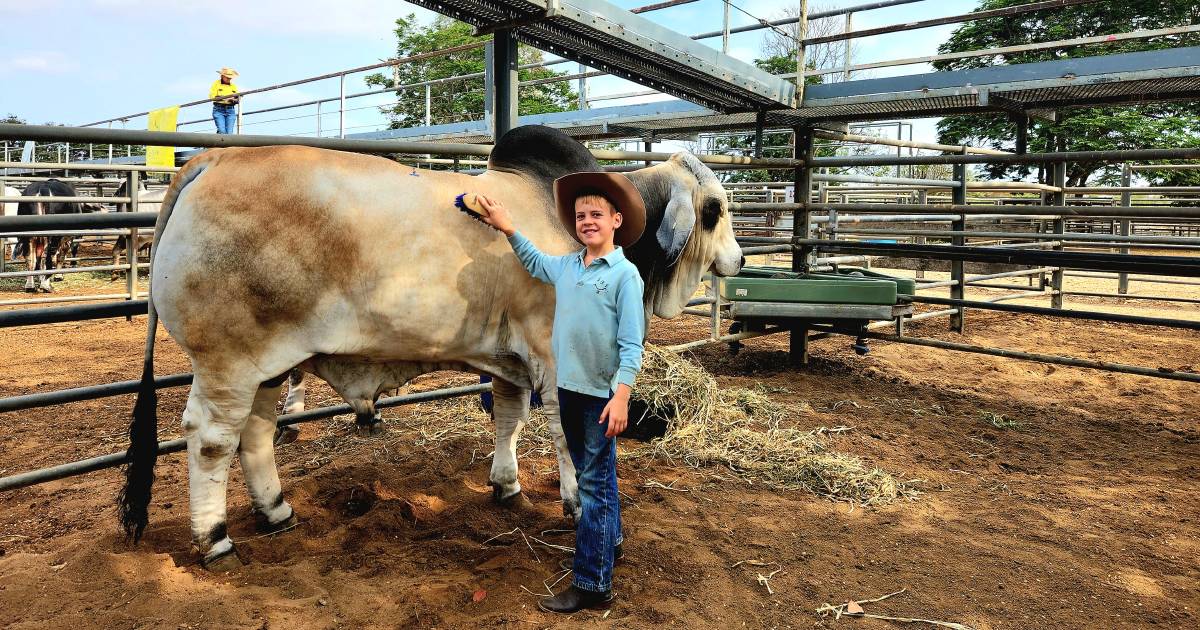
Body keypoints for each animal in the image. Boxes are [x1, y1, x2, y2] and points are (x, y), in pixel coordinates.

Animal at [121, 125, 739, 566]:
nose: (738, 260)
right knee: (210, 440)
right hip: (227, 362)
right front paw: (578, 505)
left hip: (269, 366)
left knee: (254, 434)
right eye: (714, 209)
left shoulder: (509, 362)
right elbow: (568, 434)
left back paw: (276, 511)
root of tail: (208, 163)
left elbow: (509, 419)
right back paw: (215, 539)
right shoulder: (552, 354)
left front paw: (507, 486)